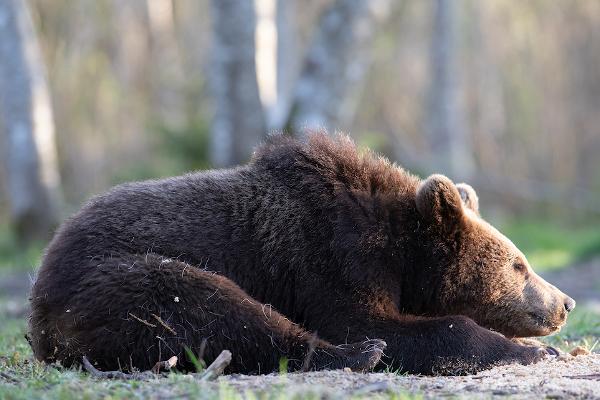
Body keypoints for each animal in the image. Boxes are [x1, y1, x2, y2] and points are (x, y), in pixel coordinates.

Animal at [25, 134, 576, 376]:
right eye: (519, 264)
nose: (565, 302)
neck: (400, 254)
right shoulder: (327, 257)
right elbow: (363, 320)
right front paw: (526, 351)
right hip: (118, 276)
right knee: (212, 309)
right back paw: (358, 353)